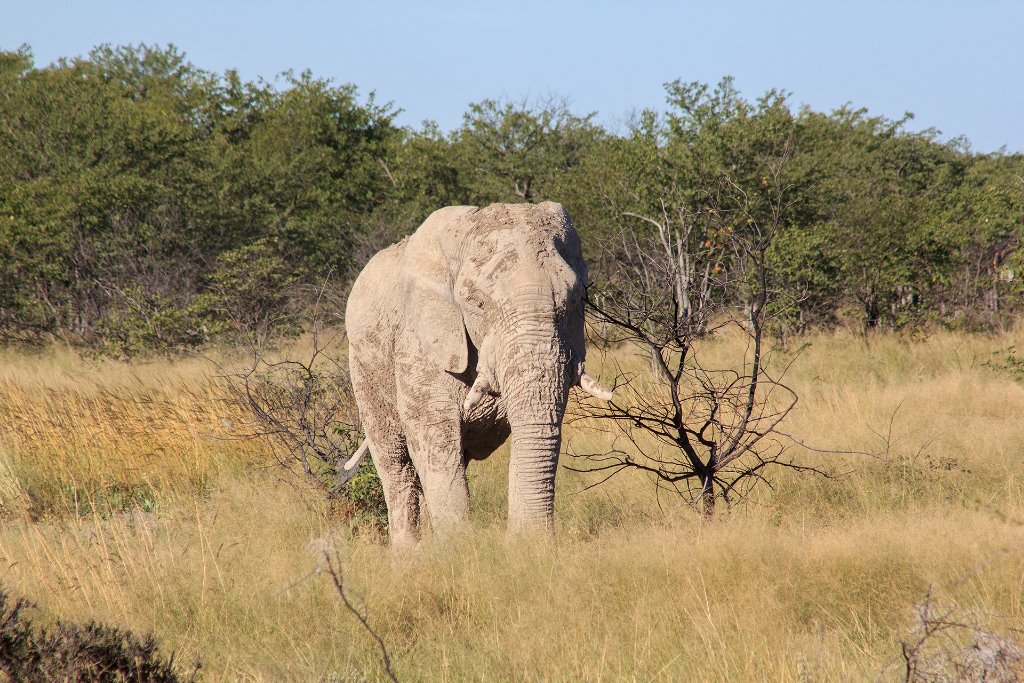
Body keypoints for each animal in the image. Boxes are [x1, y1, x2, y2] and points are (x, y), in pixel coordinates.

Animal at [344, 200, 606, 540]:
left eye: (576, 298)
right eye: (477, 304)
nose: (525, 540)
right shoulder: (419, 346)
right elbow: (434, 441)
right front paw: (460, 547)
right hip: (363, 365)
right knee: (396, 465)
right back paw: (409, 552)